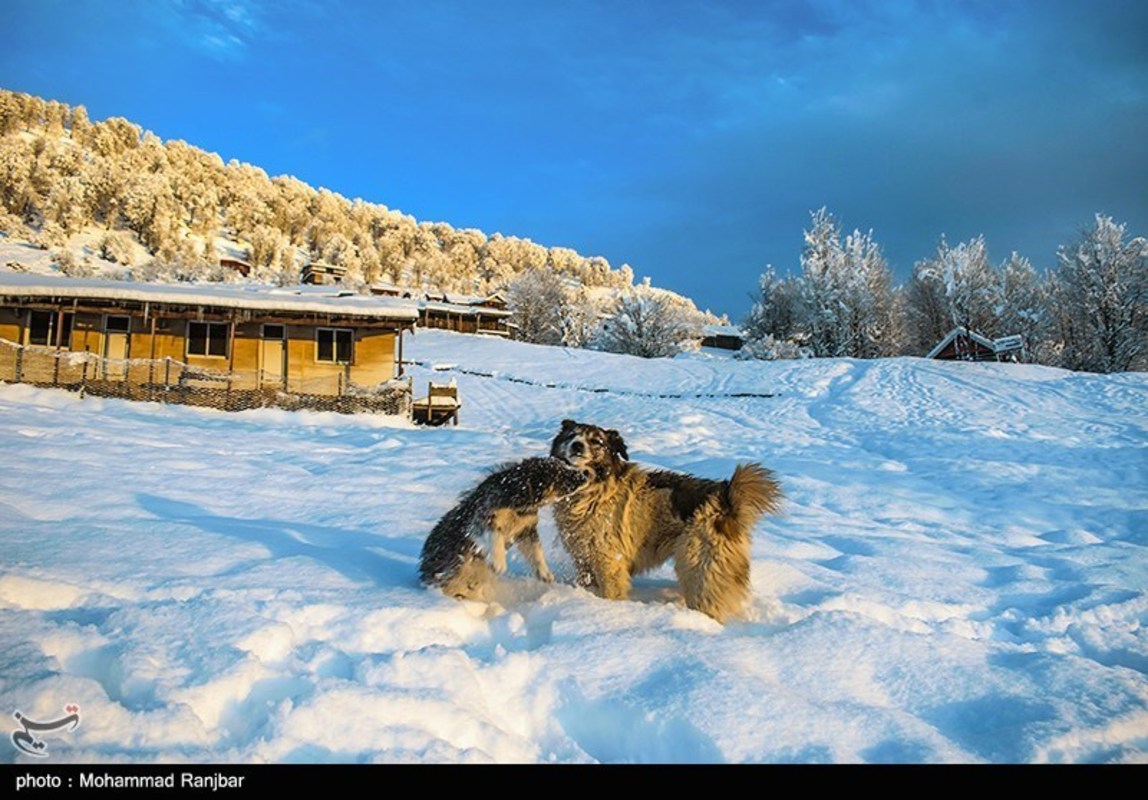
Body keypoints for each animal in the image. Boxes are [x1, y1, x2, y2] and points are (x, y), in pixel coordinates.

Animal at [417, 454, 587, 596]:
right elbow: (495, 534)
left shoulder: (527, 529)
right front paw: (498, 561)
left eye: (564, 465)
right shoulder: (482, 518)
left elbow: (536, 550)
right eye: (559, 475)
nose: (584, 475)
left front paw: (545, 573)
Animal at [546, 422, 780, 619]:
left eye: (596, 441)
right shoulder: (583, 559)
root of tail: (726, 498)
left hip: (698, 565)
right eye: (571, 435)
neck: (593, 490)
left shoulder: (609, 563)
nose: (577, 445)